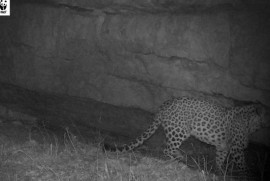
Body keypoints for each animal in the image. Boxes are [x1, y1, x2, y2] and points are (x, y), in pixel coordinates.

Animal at [104, 96, 266, 174]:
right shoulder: (236, 148)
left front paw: (219, 171)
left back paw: (180, 157)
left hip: (175, 131)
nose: (263, 126)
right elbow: (242, 164)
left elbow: (220, 159)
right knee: (167, 149)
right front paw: (246, 173)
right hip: (180, 131)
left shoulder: (223, 146)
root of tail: (163, 105)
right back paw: (176, 162)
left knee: (168, 145)